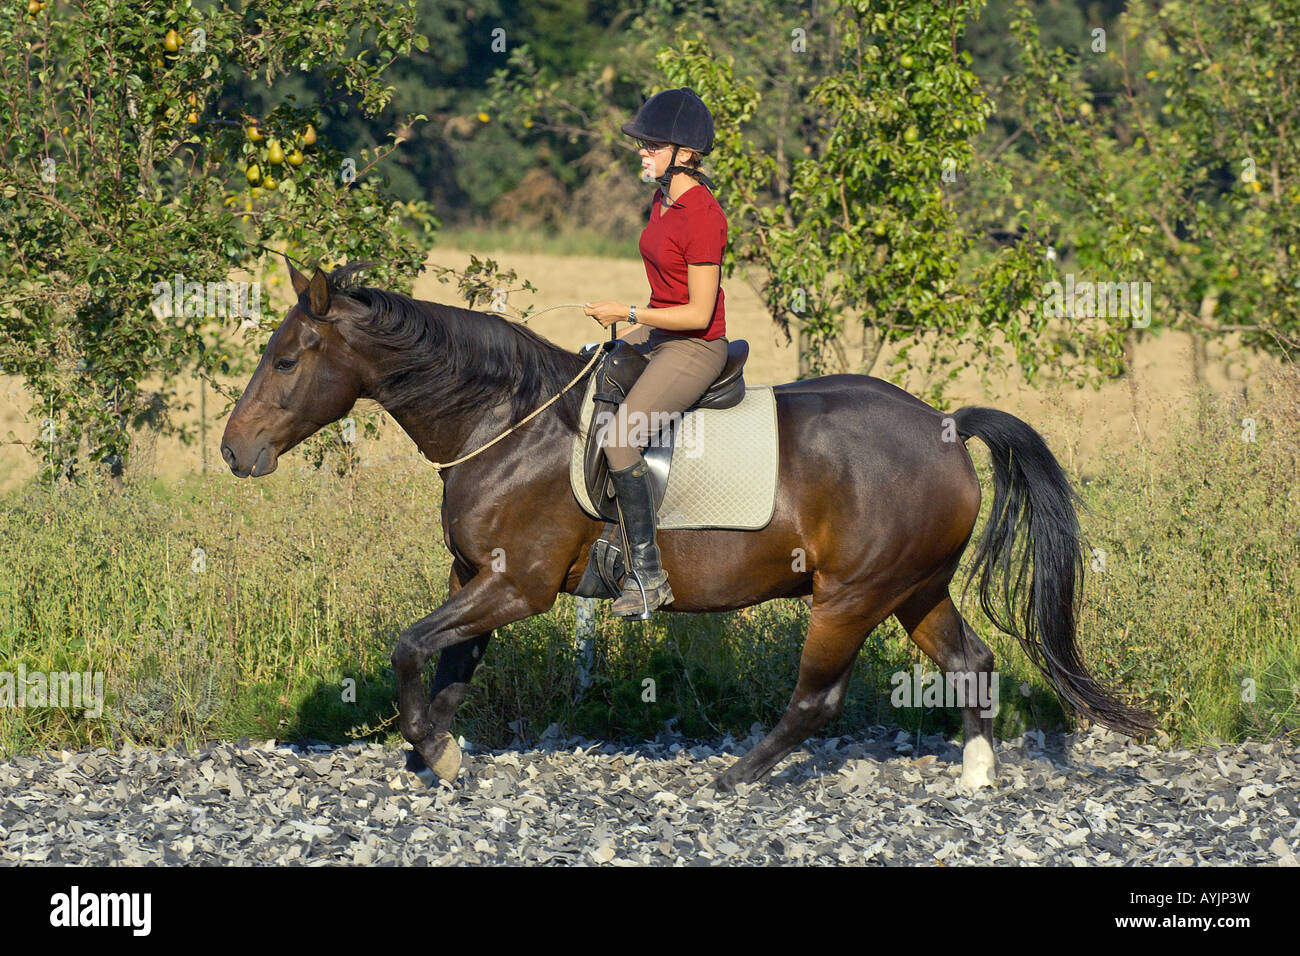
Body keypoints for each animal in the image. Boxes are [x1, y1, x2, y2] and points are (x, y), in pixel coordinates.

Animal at [218, 261, 1154, 790]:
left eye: (288, 360)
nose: (235, 452)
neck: (506, 422)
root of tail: (947, 425)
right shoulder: (474, 578)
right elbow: (448, 665)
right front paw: (436, 753)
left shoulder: (518, 586)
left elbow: (412, 648)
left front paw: (433, 752)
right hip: (913, 588)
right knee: (971, 661)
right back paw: (976, 779)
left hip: (853, 595)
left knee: (818, 698)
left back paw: (735, 776)